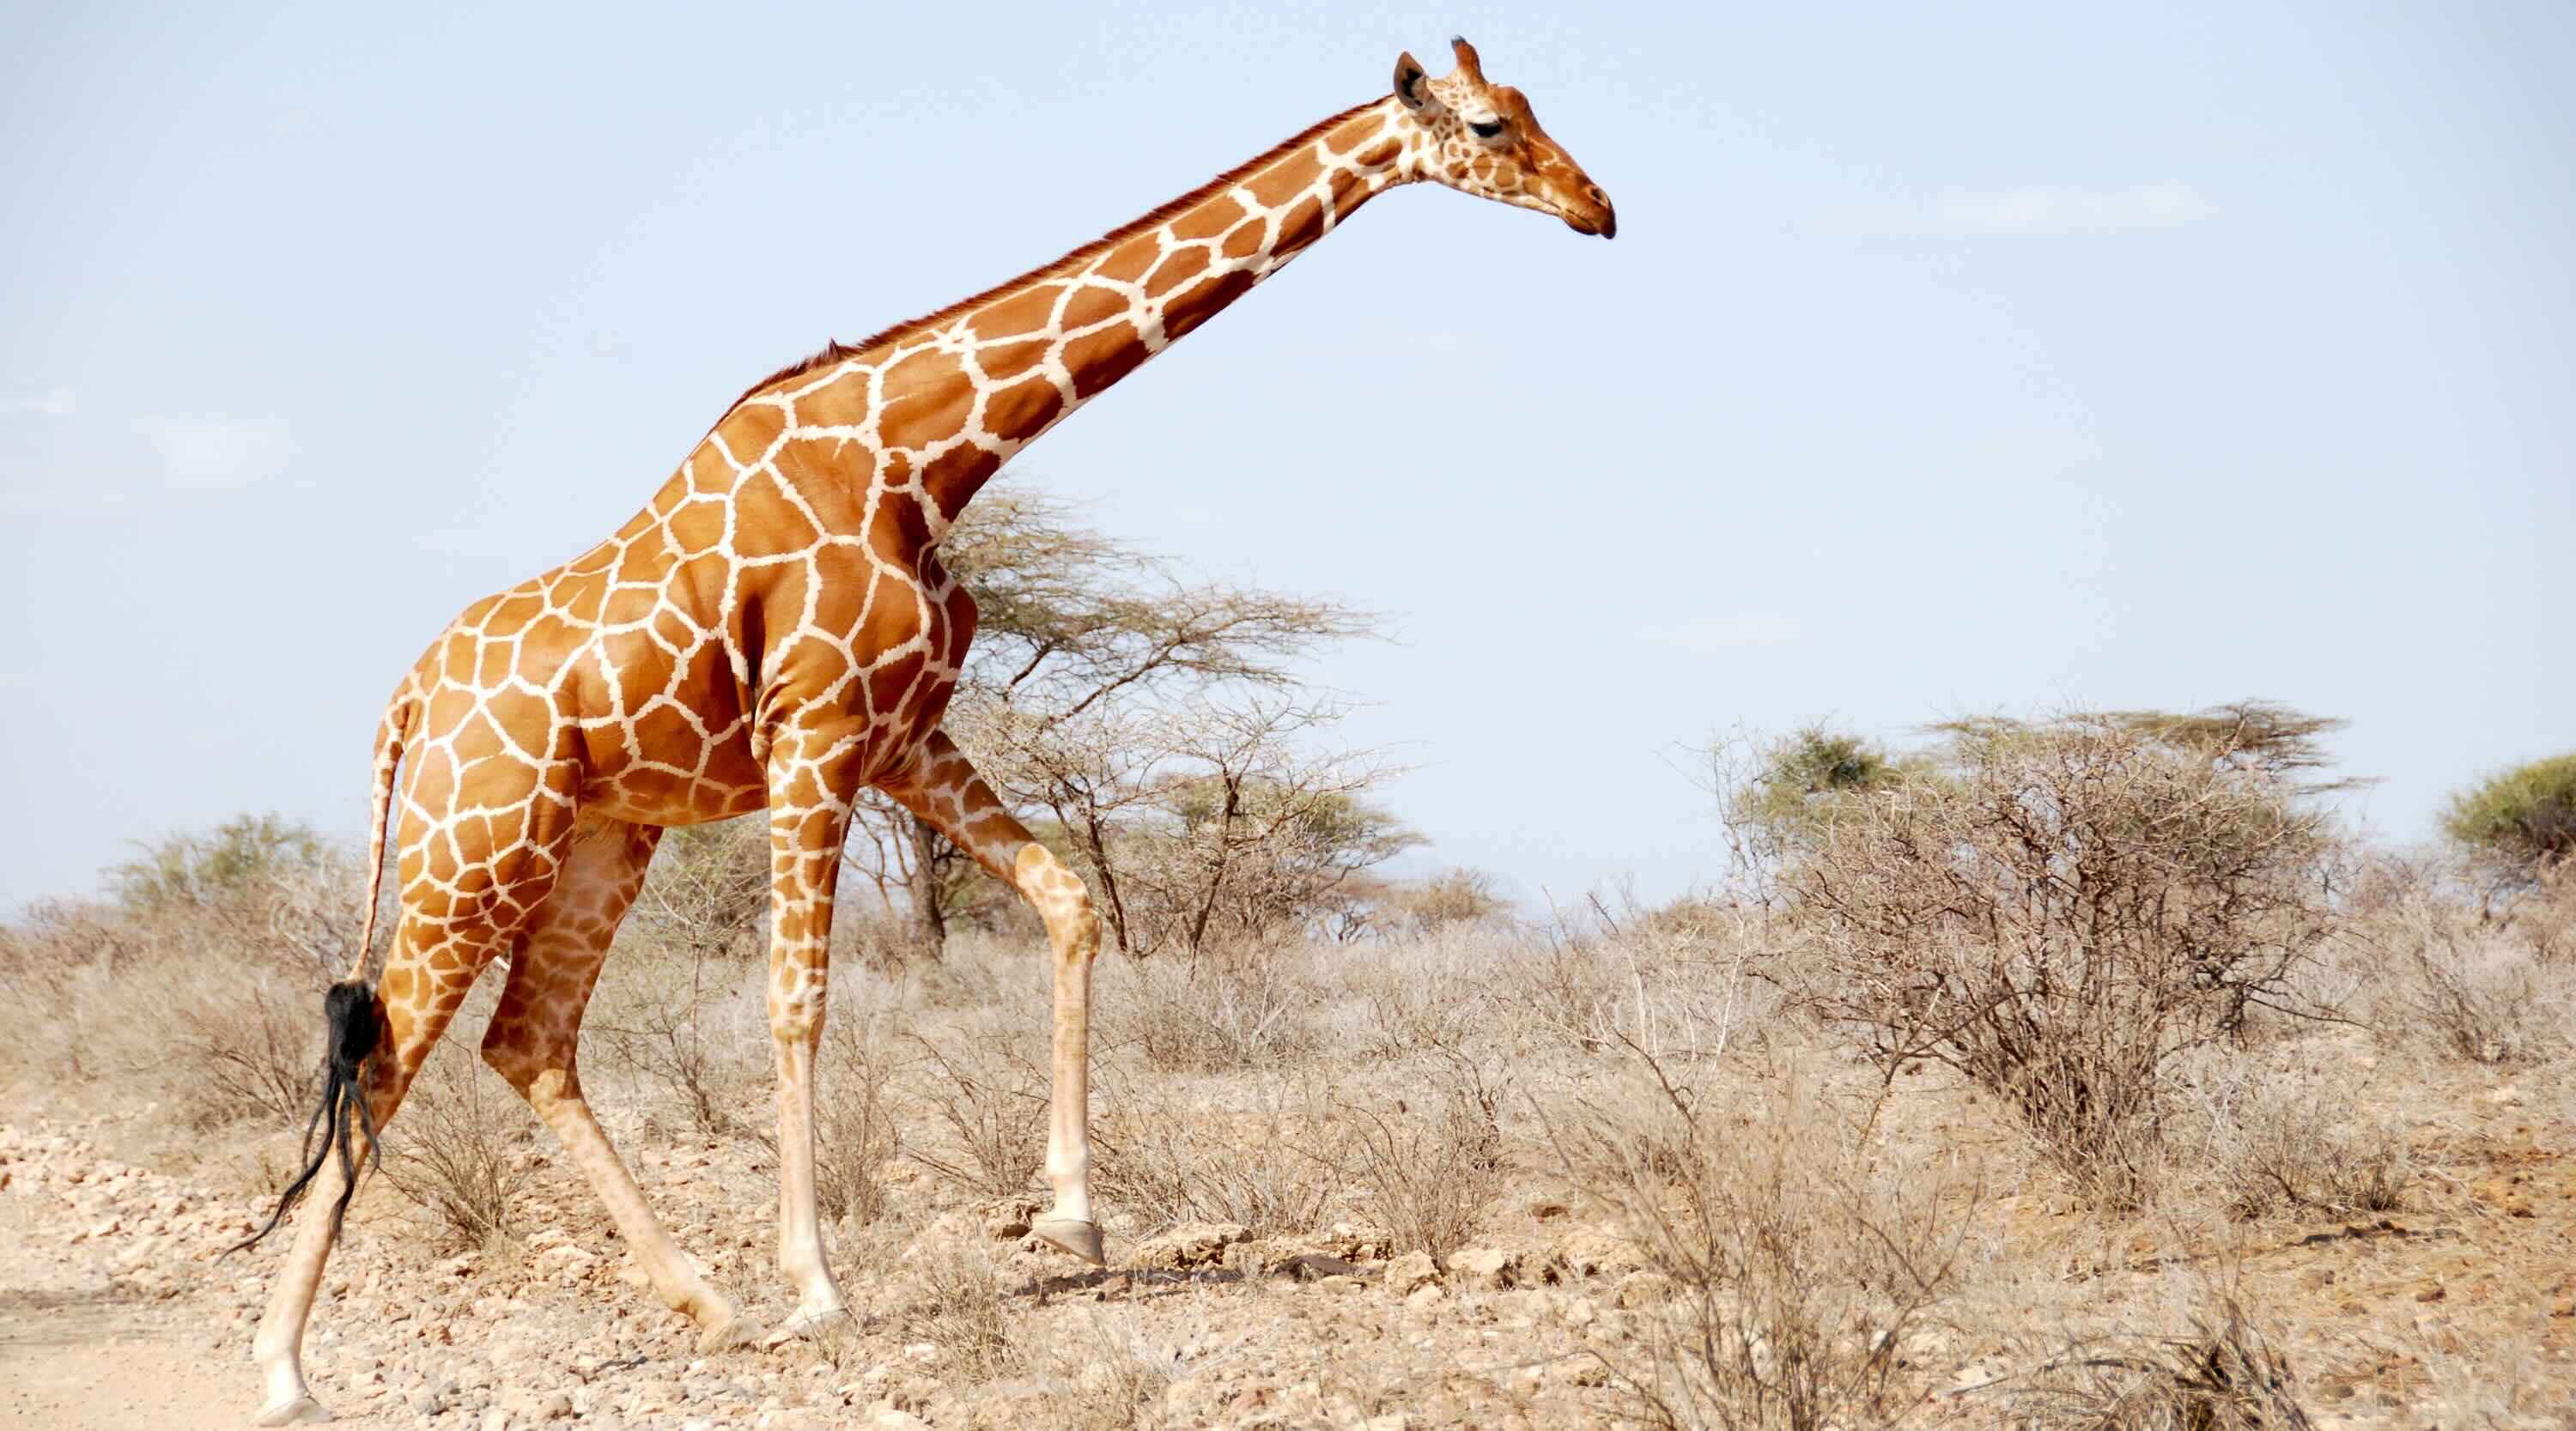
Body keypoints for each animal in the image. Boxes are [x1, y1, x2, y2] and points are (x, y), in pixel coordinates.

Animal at [242, 37, 1613, 1425]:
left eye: (1535, 110)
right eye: (1491, 128)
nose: (1597, 209)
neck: (920, 454)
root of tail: (406, 704)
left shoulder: (907, 733)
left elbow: (1068, 898)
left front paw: (1072, 1218)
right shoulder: (816, 733)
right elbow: (797, 999)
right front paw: (818, 1285)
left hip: (596, 836)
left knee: (527, 1040)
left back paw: (705, 1303)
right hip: (475, 843)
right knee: (384, 1054)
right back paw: (286, 1364)